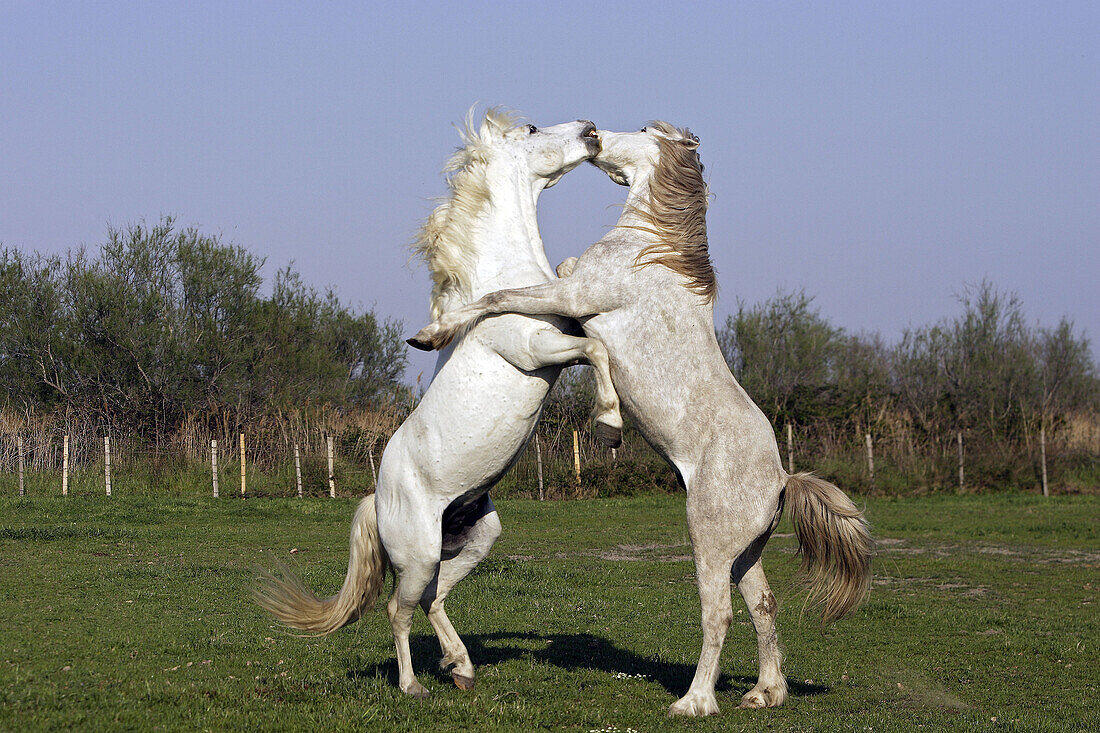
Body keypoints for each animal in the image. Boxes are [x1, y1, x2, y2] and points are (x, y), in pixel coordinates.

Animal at [251, 108, 624, 695]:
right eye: (533, 130)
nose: (589, 128)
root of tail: (375, 499)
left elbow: (596, 339)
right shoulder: (536, 351)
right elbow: (596, 348)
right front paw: (609, 425)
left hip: (477, 539)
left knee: (433, 598)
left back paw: (462, 667)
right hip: (421, 553)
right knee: (398, 609)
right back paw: (413, 685)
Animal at [413, 121, 875, 713]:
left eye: (639, 128)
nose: (592, 133)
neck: (648, 250)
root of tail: (781, 480)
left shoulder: (570, 293)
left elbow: (498, 295)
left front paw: (432, 335)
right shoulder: (569, 291)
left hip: (709, 543)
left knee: (719, 614)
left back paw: (694, 702)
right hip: (745, 554)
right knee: (764, 606)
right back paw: (765, 693)